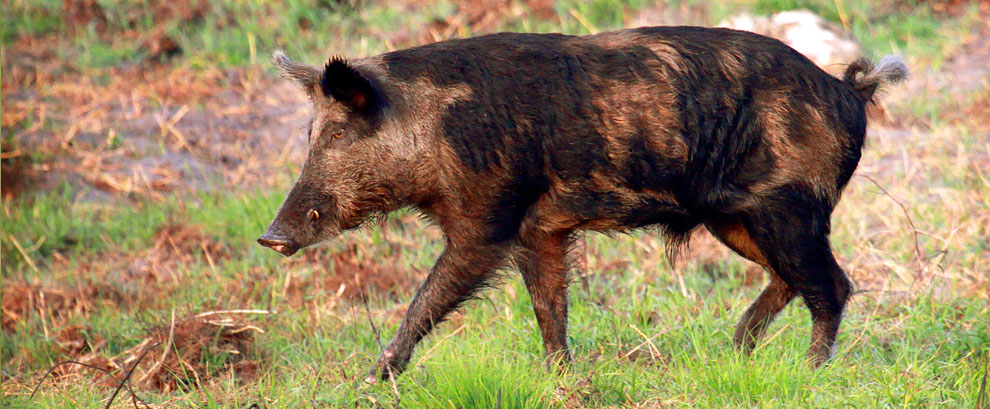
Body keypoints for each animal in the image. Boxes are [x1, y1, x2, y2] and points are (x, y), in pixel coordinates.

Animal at [257, 26, 907, 381]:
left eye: (339, 134)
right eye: (309, 133)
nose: (271, 236)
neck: (433, 130)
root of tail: (850, 90)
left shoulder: (489, 217)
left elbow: (428, 300)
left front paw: (367, 383)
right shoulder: (538, 231)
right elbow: (549, 307)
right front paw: (559, 377)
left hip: (789, 209)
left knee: (833, 285)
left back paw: (807, 371)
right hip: (736, 220)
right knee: (793, 280)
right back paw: (736, 350)